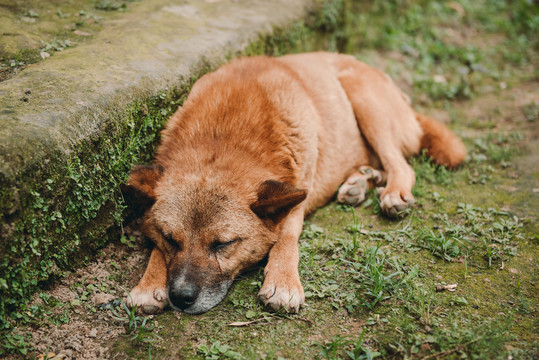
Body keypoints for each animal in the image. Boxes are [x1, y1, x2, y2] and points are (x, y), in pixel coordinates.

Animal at [124, 52, 466, 314]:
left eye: (222, 244)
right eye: (171, 240)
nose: (181, 298)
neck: (223, 136)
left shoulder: (297, 193)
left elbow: (286, 236)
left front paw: (282, 281)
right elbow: (154, 247)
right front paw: (149, 282)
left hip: (364, 100)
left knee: (402, 165)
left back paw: (393, 191)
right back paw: (360, 182)